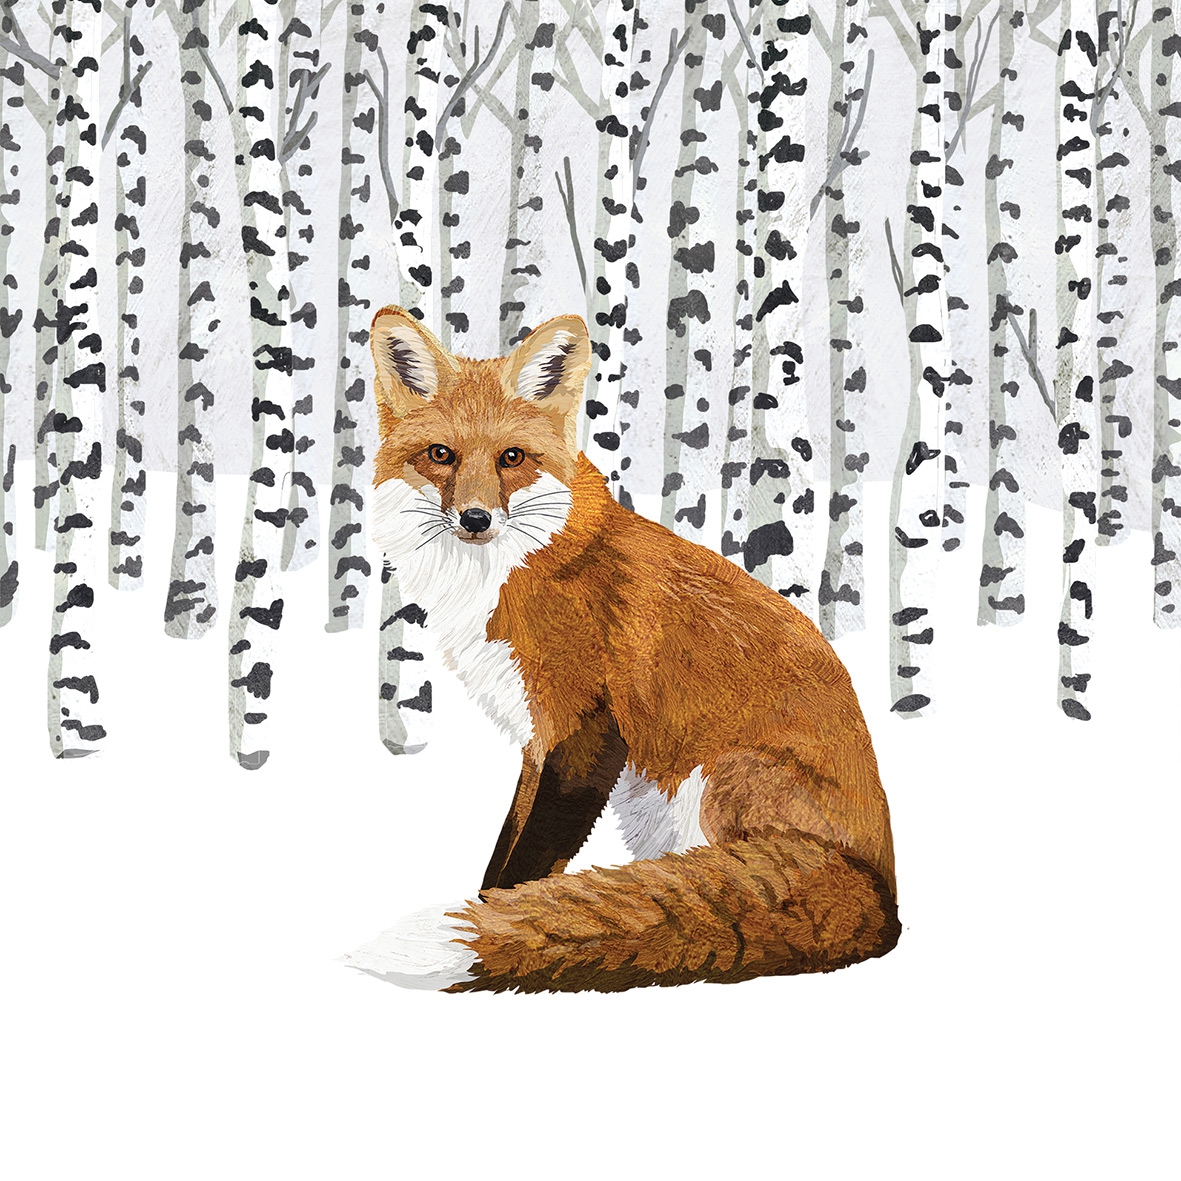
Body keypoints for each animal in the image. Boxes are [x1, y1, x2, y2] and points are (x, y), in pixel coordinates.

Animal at [345, 305, 900, 993]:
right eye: (440, 455)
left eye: (511, 457)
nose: (476, 519)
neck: (513, 571)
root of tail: (882, 893)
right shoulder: (538, 736)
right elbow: (507, 850)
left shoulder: (586, 730)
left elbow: (524, 864)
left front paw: (501, 918)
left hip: (717, 778)